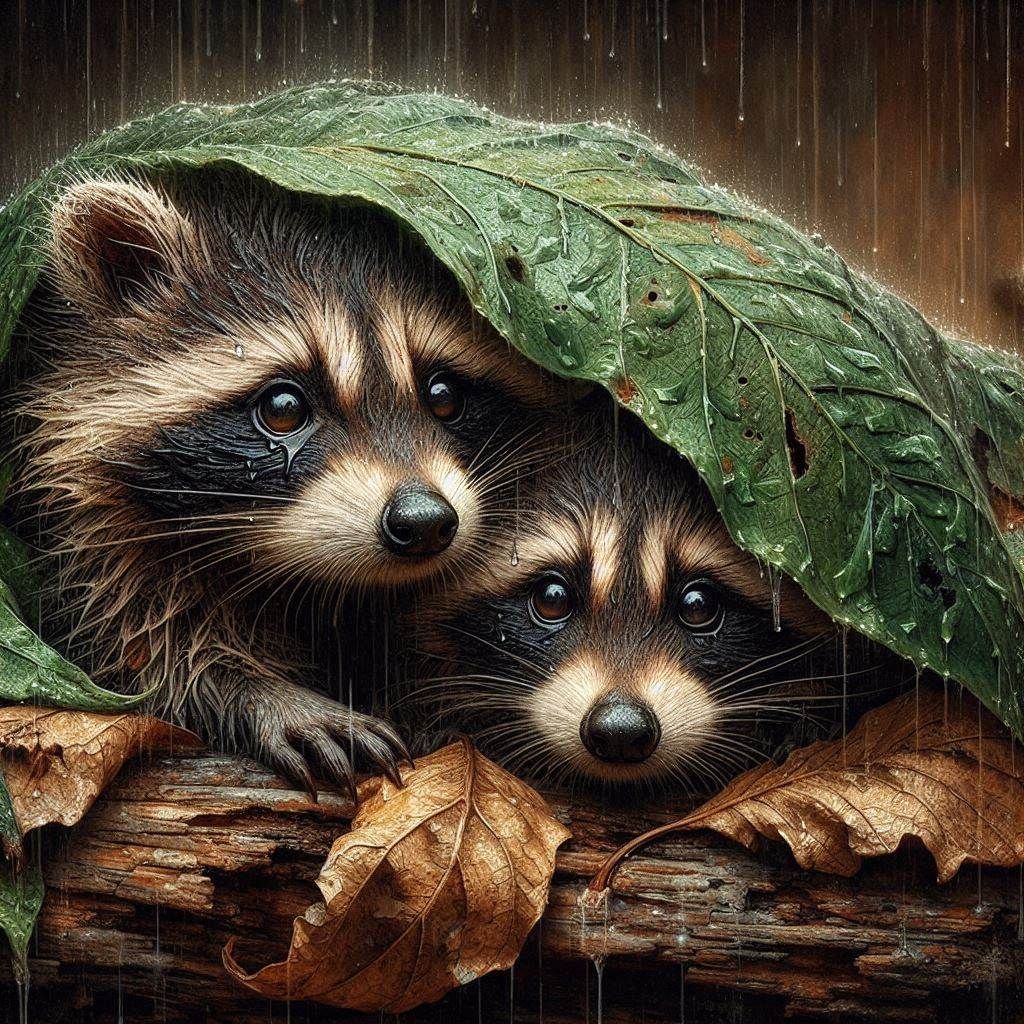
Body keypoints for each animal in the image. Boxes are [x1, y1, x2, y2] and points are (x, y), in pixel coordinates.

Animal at [6, 171, 565, 794]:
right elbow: (140, 641)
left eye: (443, 395)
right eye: (283, 409)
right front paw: (261, 691)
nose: (424, 521)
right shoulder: (85, 512)